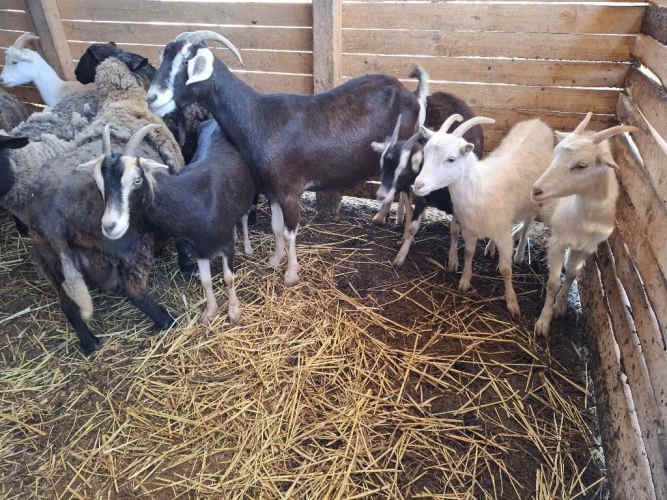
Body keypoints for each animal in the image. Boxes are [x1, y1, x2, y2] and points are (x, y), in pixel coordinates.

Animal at [91, 120, 256, 324]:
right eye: (100, 184)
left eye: (137, 180)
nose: (109, 226)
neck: (192, 199)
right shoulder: (198, 249)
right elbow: (206, 281)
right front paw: (210, 312)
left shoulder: (225, 245)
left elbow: (228, 278)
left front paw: (234, 312)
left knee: (244, 216)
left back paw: (247, 246)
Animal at [147, 30, 425, 286]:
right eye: (164, 58)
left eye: (186, 62)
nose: (152, 98)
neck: (259, 117)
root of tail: (412, 94)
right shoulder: (271, 189)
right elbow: (276, 227)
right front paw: (274, 260)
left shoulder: (290, 189)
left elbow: (291, 232)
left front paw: (291, 274)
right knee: (402, 194)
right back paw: (389, 220)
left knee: (410, 197)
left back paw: (401, 249)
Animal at [414, 116, 554, 316]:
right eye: (425, 153)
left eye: (451, 159)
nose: (418, 185)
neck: (479, 187)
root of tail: (537, 121)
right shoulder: (470, 229)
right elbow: (468, 253)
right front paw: (465, 281)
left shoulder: (504, 234)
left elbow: (506, 269)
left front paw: (512, 302)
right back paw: (490, 248)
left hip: (534, 201)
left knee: (527, 224)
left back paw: (519, 254)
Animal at [532, 113, 637, 337]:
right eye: (555, 154)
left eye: (581, 165)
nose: (536, 190)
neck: (584, 219)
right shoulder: (558, 242)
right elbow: (553, 282)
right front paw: (543, 322)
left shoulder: (586, 248)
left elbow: (572, 273)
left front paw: (560, 306)